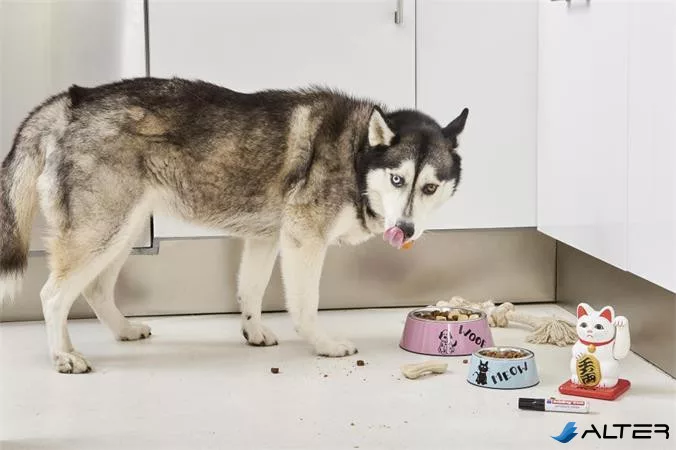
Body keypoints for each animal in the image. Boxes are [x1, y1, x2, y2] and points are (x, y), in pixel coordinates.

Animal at [0, 77, 468, 373]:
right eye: (397, 180)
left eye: (429, 187)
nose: (405, 229)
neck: (355, 154)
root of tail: (71, 101)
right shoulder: (304, 240)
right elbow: (305, 305)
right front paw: (323, 345)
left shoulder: (264, 239)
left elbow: (251, 290)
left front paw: (253, 330)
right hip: (103, 231)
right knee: (53, 295)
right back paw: (63, 356)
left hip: (123, 231)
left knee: (95, 289)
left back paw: (123, 330)